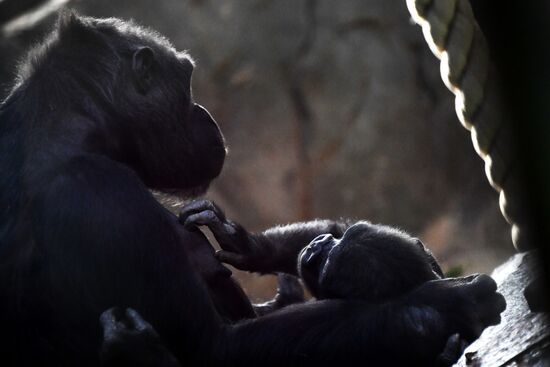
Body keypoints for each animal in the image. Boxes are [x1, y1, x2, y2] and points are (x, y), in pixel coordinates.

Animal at [0, 11, 506, 367]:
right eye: (186, 82)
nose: (204, 113)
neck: (82, 131)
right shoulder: (101, 200)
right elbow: (214, 348)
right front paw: (449, 303)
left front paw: (243, 241)